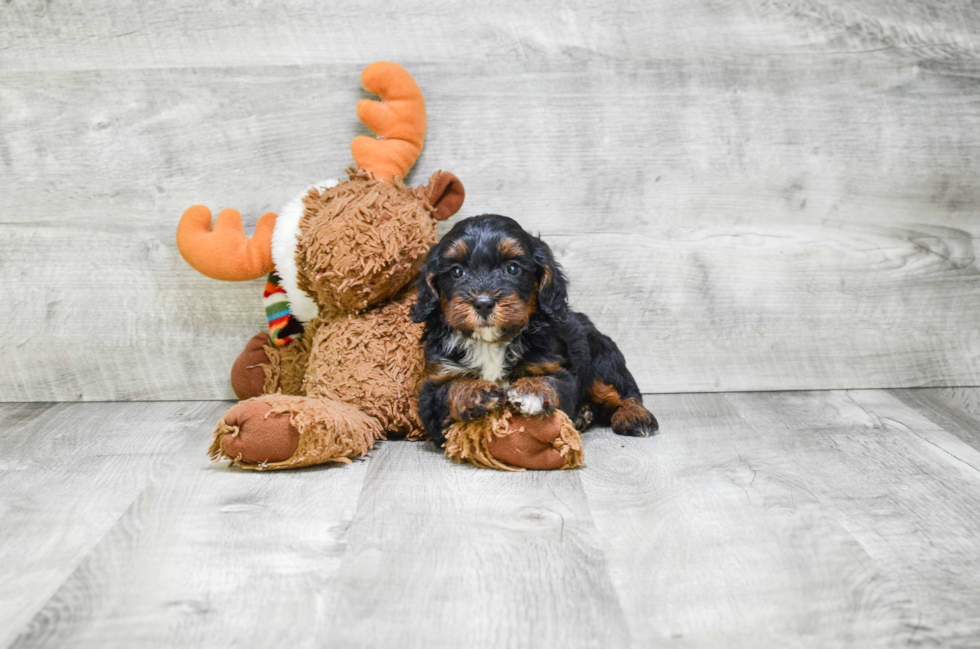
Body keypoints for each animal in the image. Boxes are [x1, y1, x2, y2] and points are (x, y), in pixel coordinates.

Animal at [410, 215, 656, 448]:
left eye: (512, 268)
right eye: (456, 272)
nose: (483, 303)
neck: (490, 343)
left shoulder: (555, 368)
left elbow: (551, 381)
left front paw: (531, 390)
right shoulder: (434, 384)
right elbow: (448, 390)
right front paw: (475, 391)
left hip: (602, 359)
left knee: (623, 392)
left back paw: (635, 416)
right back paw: (584, 415)